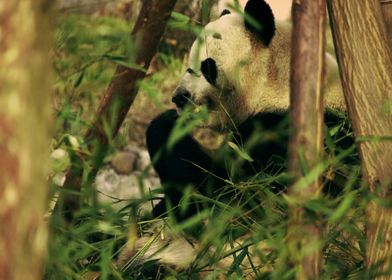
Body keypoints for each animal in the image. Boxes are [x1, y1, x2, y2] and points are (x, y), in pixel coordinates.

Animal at [146, 0, 350, 220]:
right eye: (189, 67)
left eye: (208, 68)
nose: (178, 97)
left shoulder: (275, 135)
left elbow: (227, 194)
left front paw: (166, 125)